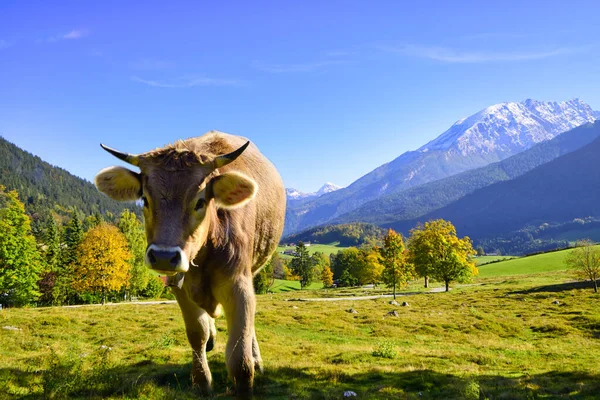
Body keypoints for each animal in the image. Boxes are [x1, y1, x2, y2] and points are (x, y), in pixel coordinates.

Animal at [95, 132, 288, 396]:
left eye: (200, 201)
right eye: (145, 199)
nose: (163, 256)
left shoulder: (238, 284)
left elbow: (240, 359)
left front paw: (248, 367)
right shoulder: (180, 286)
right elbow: (197, 333)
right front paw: (202, 382)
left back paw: (257, 359)